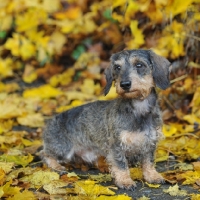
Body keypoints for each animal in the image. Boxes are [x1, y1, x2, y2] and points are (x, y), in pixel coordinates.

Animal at [40, 49, 170, 190]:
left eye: (139, 65)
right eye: (117, 67)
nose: (124, 84)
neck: (139, 111)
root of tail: (50, 123)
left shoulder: (150, 142)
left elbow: (148, 162)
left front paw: (153, 176)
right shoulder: (116, 145)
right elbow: (121, 164)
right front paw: (125, 181)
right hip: (64, 149)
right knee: (44, 154)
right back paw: (57, 167)